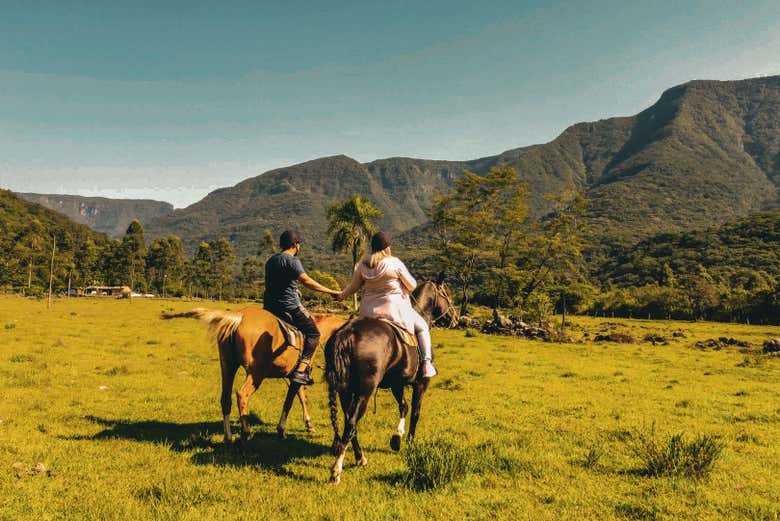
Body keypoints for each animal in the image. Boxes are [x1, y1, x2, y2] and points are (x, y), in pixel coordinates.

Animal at [162, 306, 344, 444]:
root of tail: (239, 317)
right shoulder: (297, 376)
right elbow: (291, 401)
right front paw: (282, 430)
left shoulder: (294, 376)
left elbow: (301, 398)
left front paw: (308, 424)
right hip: (257, 373)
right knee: (242, 394)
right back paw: (245, 433)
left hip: (228, 365)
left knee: (225, 398)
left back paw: (228, 438)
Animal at [322, 276, 458, 484]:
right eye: (447, 294)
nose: (455, 318)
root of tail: (347, 333)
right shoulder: (421, 384)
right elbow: (415, 412)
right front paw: (410, 441)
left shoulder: (397, 384)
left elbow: (404, 406)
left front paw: (396, 439)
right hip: (364, 391)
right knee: (352, 423)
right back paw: (336, 471)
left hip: (345, 390)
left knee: (348, 422)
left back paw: (360, 457)